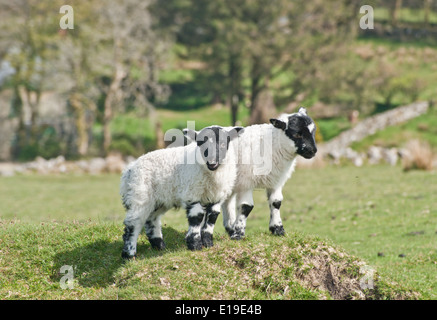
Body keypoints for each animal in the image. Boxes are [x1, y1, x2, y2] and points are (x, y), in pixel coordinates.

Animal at [120, 124, 242, 258]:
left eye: (223, 143)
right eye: (200, 143)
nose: (212, 161)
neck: (212, 174)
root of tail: (129, 169)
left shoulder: (217, 196)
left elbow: (212, 217)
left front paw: (208, 243)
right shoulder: (192, 193)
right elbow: (197, 217)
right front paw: (195, 245)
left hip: (160, 199)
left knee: (151, 219)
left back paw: (159, 246)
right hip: (140, 193)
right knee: (133, 223)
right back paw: (129, 254)